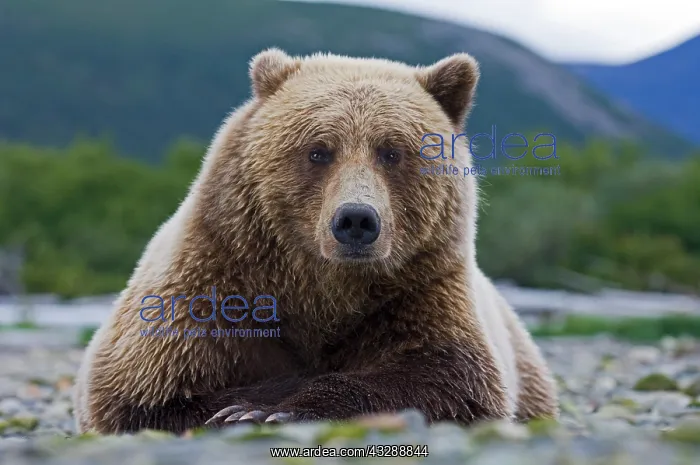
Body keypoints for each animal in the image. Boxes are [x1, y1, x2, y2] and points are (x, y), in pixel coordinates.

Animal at [73, 48, 559, 434]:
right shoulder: (211, 283)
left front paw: (275, 409)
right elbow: (144, 393)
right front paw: (243, 407)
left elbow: (450, 378)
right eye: (318, 150)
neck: (320, 286)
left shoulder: (421, 288)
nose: (357, 220)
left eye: (392, 151)